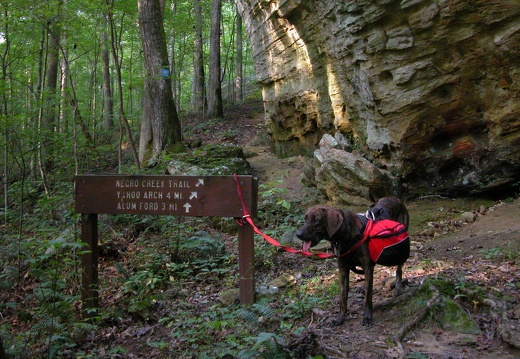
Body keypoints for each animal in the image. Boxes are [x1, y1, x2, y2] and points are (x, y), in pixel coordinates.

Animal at [296, 198, 410, 328]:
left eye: (316, 220)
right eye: (305, 218)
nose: (298, 234)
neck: (344, 235)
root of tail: (396, 199)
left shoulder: (367, 265)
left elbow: (368, 298)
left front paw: (367, 316)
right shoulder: (343, 269)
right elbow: (343, 298)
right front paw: (340, 318)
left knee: (399, 268)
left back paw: (398, 286)